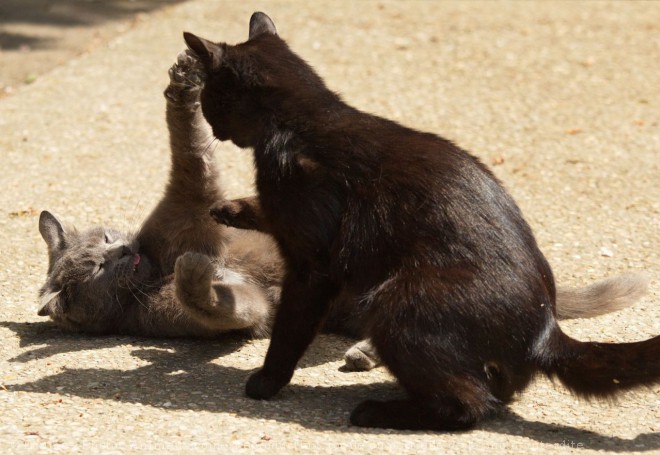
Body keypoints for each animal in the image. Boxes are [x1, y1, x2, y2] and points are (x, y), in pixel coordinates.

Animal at [38, 47, 648, 374]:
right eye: (94, 267)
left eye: (106, 240)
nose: (125, 251)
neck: (153, 268)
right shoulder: (241, 310)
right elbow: (215, 300)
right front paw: (200, 274)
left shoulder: (189, 204)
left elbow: (189, 151)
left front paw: (184, 78)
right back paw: (363, 353)